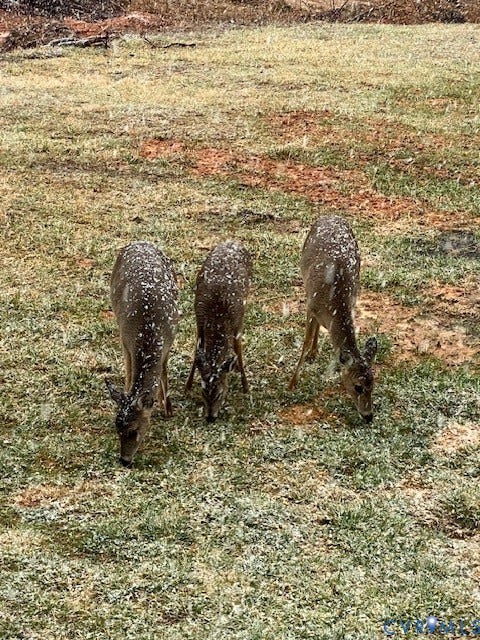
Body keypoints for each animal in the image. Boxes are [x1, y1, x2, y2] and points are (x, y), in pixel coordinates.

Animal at [106, 241, 179, 467]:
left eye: (134, 430)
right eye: (117, 428)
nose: (124, 460)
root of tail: (140, 242)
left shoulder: (169, 340)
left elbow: (163, 371)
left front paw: (167, 408)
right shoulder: (125, 341)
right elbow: (129, 376)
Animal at [186, 241, 253, 422]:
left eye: (219, 394)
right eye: (203, 391)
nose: (210, 417)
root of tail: (233, 241)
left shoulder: (237, 324)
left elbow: (238, 350)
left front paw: (246, 387)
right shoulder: (199, 321)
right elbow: (196, 352)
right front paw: (187, 385)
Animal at [289, 215, 377, 422]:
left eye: (373, 385)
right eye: (358, 387)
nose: (368, 416)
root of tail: (332, 215)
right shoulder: (310, 305)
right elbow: (305, 342)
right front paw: (292, 384)